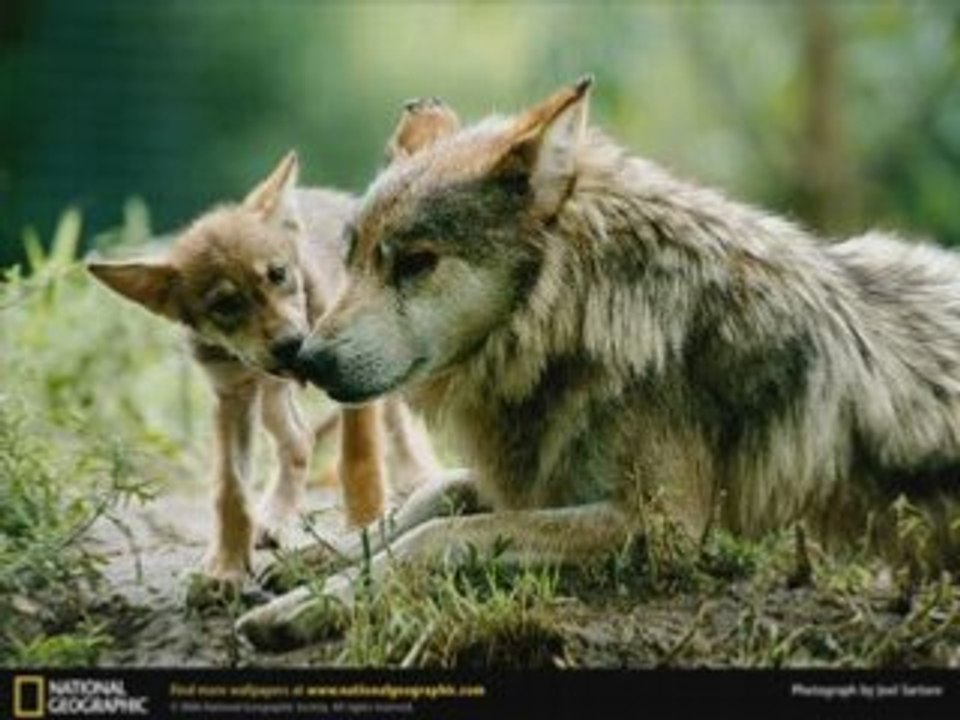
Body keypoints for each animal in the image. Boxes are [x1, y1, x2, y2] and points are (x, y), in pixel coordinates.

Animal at [87, 152, 440, 594]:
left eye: (277, 274)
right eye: (224, 305)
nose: (291, 346)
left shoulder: (352, 381)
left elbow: (359, 460)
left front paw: (364, 528)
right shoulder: (231, 397)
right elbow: (232, 491)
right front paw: (225, 569)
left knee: (398, 427)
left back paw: (420, 477)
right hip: (270, 398)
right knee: (299, 440)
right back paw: (274, 518)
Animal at [237, 78, 959, 649]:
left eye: (416, 263)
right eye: (354, 257)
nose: (306, 359)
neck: (585, 314)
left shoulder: (661, 527)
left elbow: (444, 535)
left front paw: (313, 604)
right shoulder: (535, 478)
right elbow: (430, 498)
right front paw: (310, 561)